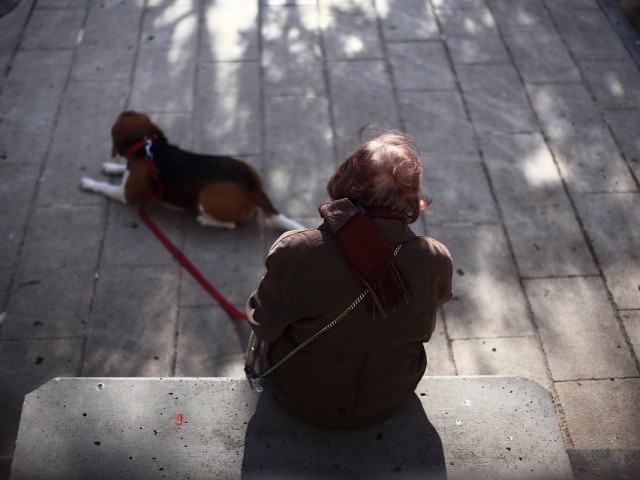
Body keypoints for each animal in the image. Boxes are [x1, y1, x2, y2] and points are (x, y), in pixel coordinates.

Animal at [80, 110, 304, 231]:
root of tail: (252, 187)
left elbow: (104, 187)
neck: (146, 147)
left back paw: (203, 219)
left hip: (206, 197)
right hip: (249, 167)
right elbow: (121, 169)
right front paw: (111, 167)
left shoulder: (124, 194)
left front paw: (88, 183)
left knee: (230, 224)